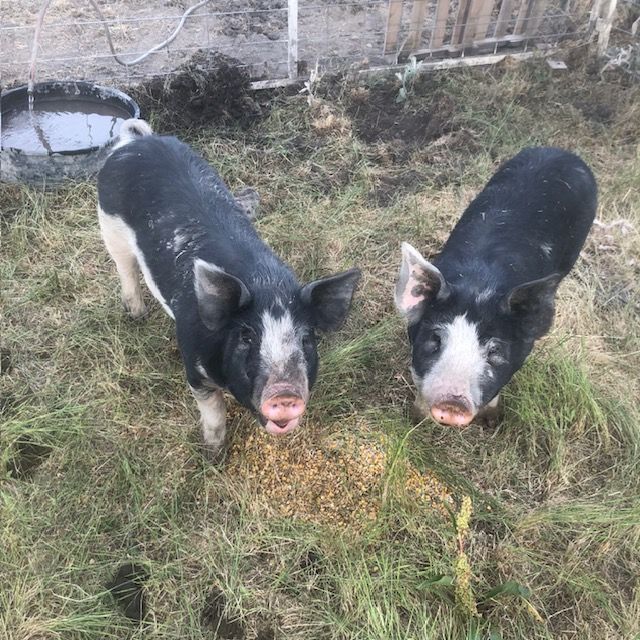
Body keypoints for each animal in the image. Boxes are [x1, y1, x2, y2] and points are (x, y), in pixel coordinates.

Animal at [97, 120, 360, 459]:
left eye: (306, 338)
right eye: (247, 336)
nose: (285, 393)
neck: (267, 284)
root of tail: (133, 143)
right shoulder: (195, 368)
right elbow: (214, 412)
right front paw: (213, 454)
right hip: (109, 226)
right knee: (125, 268)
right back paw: (136, 314)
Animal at [395, 147, 597, 427]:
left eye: (494, 350)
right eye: (435, 338)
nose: (452, 403)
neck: (479, 286)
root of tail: (562, 152)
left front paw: (491, 422)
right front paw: (416, 418)